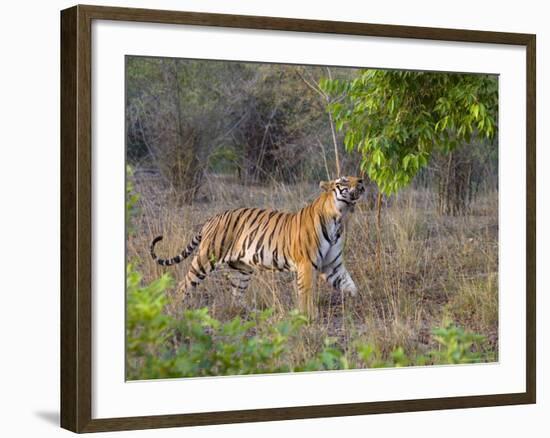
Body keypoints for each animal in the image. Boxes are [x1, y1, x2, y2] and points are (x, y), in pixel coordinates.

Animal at [151, 175, 366, 318]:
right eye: (344, 180)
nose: (362, 181)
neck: (339, 217)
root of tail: (212, 218)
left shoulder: (332, 266)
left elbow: (350, 285)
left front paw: (359, 300)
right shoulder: (306, 264)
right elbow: (305, 292)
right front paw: (308, 315)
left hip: (242, 269)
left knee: (236, 297)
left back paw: (256, 313)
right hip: (206, 258)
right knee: (184, 285)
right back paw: (174, 310)